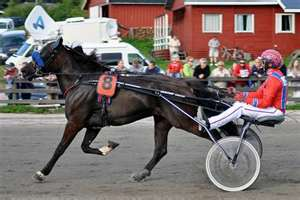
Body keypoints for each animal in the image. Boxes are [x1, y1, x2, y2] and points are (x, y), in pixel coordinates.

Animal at [21, 38, 237, 183]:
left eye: (44, 52)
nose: (24, 70)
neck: (82, 81)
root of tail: (185, 84)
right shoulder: (94, 124)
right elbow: (85, 147)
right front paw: (108, 147)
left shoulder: (75, 121)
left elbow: (60, 148)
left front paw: (42, 172)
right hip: (163, 120)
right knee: (161, 149)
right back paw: (142, 173)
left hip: (182, 120)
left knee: (214, 136)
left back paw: (233, 159)